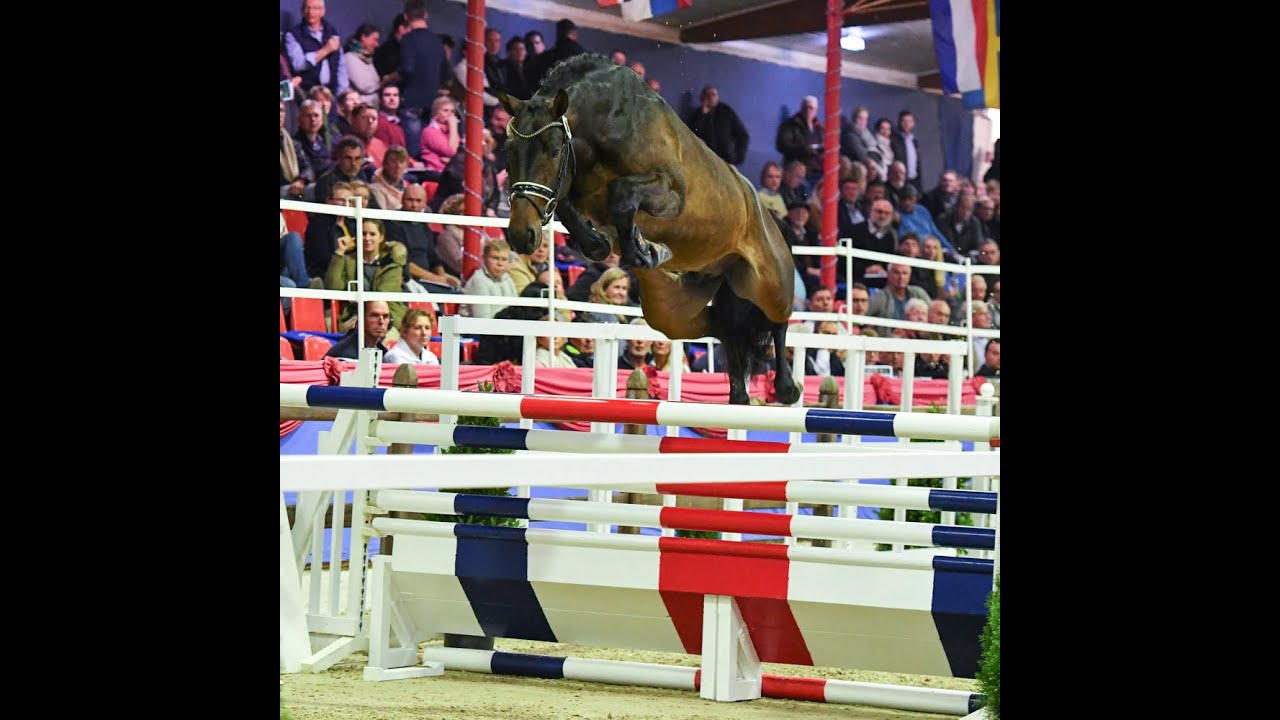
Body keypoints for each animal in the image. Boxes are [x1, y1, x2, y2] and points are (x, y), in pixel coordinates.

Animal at [497, 54, 802, 406]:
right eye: (508, 151)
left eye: (553, 149)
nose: (522, 235)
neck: (607, 126)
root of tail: (771, 220)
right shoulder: (572, 189)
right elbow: (568, 206)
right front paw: (610, 244)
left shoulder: (672, 195)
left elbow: (621, 196)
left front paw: (644, 250)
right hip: (671, 308)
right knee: (724, 326)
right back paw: (739, 394)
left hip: (768, 283)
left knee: (776, 321)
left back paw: (787, 388)